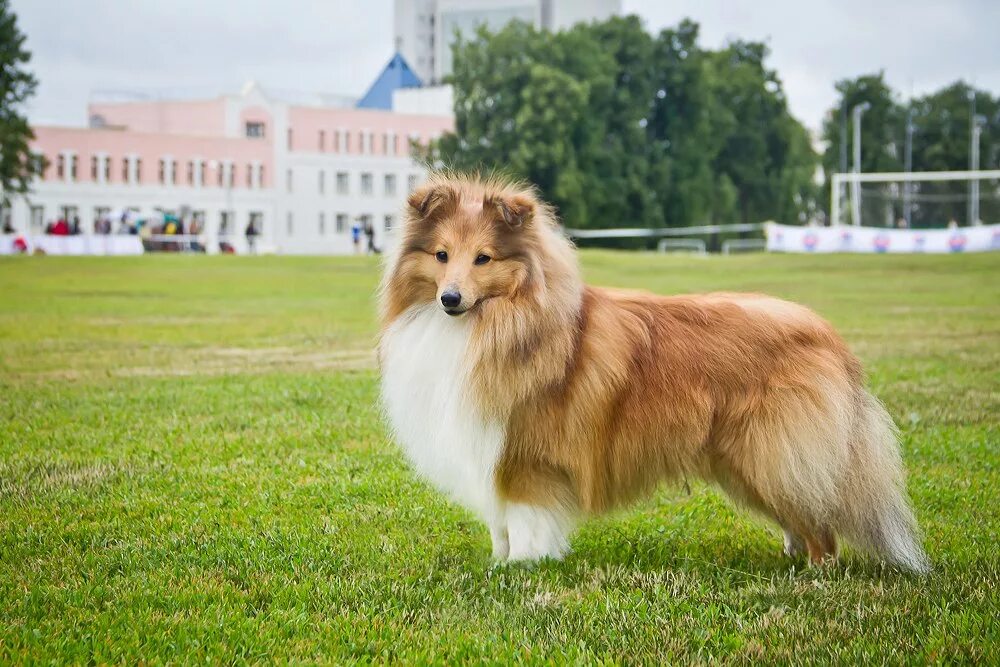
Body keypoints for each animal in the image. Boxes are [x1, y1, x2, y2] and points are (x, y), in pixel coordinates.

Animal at [376, 174, 928, 576]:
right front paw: (501, 561)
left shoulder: (526, 455)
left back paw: (816, 573)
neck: (493, 321)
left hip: (771, 451)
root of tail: (829, 337)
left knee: (822, 522)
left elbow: (526, 517)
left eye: (483, 259)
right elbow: (502, 524)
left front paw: (523, 568)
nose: (450, 299)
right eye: (441, 255)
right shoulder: (492, 451)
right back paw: (793, 557)